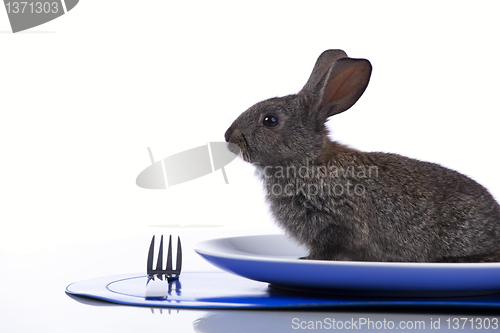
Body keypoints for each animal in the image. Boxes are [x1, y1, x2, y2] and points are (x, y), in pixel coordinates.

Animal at [226, 50, 500, 262]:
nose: (229, 137)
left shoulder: (338, 224)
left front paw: (309, 259)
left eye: (270, 121)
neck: (309, 161)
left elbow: (329, 248)